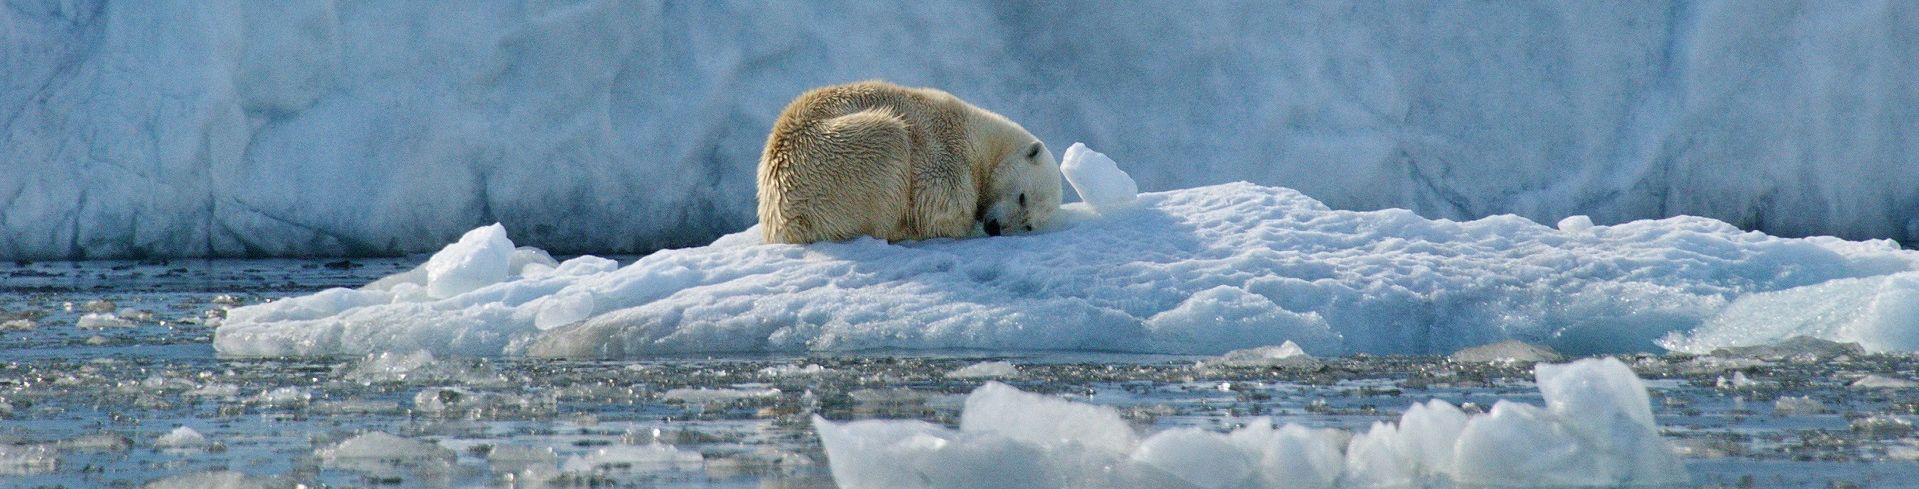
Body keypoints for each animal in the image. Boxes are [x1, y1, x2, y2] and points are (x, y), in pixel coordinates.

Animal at [752, 79, 1066, 244]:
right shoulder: (945, 148)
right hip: (835, 156)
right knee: (889, 136)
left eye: (1029, 225)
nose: (995, 227)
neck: (982, 139)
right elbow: (939, 212)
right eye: (1023, 197)